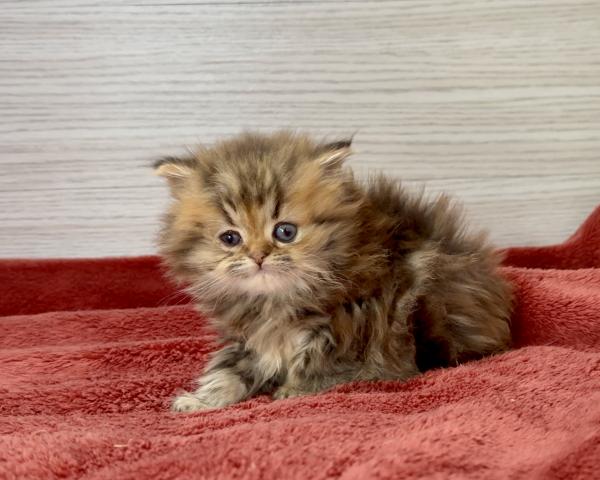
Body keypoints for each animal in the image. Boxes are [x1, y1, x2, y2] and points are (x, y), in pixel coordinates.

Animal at [155, 131, 512, 412]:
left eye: (285, 232)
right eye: (230, 238)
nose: (258, 256)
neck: (276, 301)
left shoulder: (356, 320)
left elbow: (322, 363)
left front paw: (293, 391)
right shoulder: (251, 339)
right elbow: (228, 371)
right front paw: (202, 400)